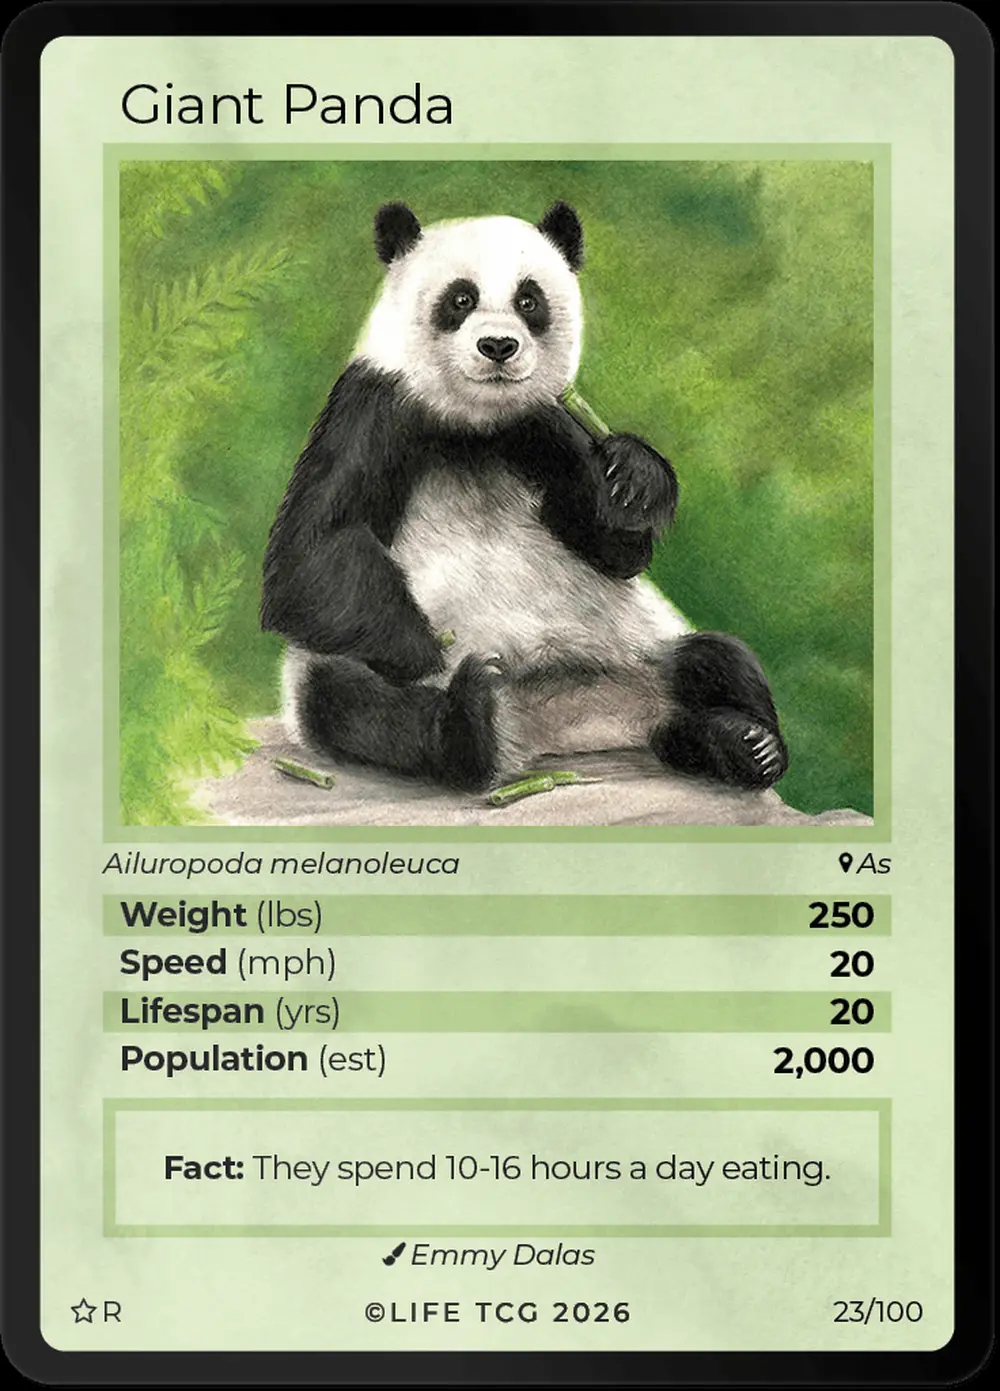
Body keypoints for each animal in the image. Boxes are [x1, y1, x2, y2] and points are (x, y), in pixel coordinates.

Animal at [261, 200, 789, 794]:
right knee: (358, 704)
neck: (472, 424)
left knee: (718, 659)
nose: (498, 346)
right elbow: (308, 559)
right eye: (461, 299)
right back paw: (470, 715)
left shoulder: (540, 426)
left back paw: (746, 745)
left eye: (528, 300)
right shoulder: (374, 409)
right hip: (327, 672)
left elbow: (613, 552)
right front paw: (433, 652)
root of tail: (564, 727)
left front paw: (634, 478)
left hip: (643, 650)